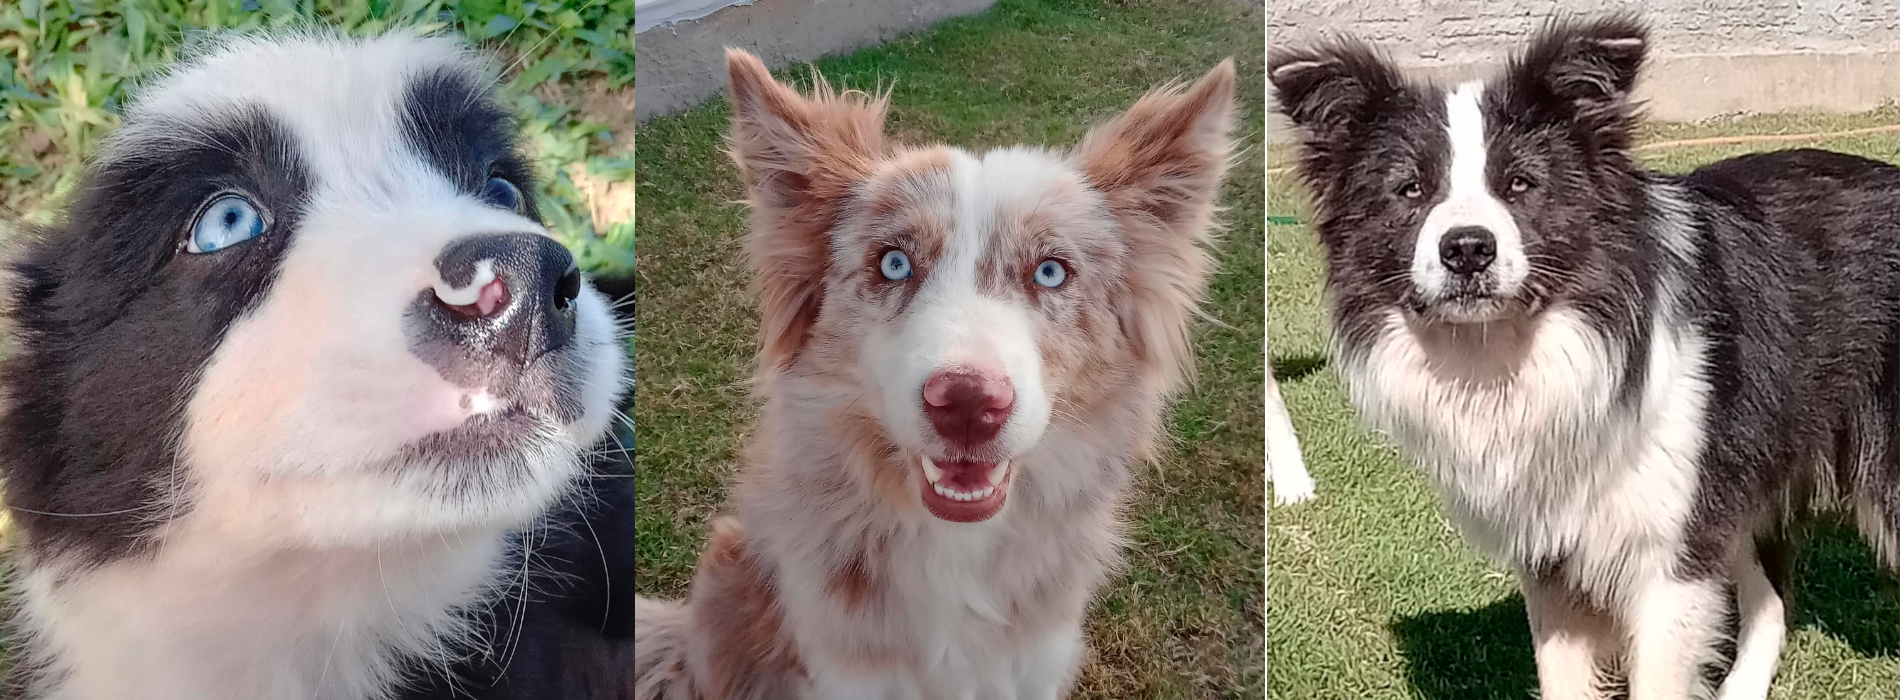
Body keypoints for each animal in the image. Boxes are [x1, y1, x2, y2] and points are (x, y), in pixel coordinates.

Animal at [1269, 16, 1900, 700]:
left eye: (1520, 184)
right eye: (1410, 189)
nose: (1467, 249)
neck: (1511, 355)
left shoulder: (1669, 558)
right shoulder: (1553, 553)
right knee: (1772, 596)